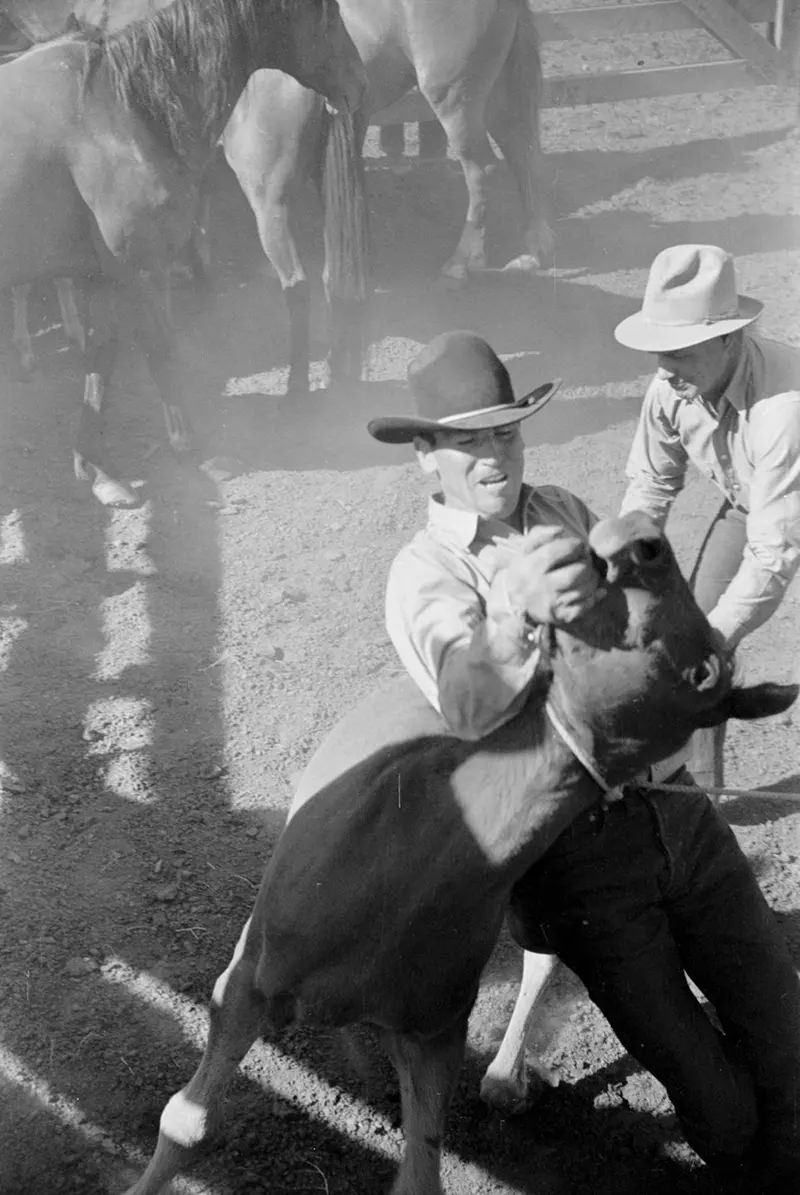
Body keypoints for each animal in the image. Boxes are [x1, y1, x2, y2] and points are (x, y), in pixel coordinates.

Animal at [0, 0, 365, 504]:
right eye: (327, 16)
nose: (358, 84)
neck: (116, 110)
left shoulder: (106, 278)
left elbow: (101, 361)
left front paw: (99, 468)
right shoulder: (142, 271)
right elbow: (160, 351)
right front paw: (187, 449)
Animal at [121, 513, 794, 1195]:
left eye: (705, 671)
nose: (643, 538)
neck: (405, 870)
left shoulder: (435, 1036)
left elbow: (421, 1173)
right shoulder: (246, 981)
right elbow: (188, 1123)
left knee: (542, 960)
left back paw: (502, 1078)